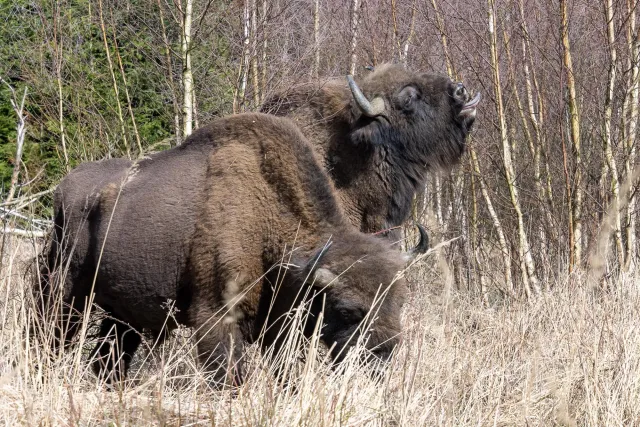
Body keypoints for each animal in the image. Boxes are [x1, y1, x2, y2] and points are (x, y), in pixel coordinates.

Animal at [41, 112, 430, 386]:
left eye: (399, 301)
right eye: (348, 310)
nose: (382, 355)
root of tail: (64, 188)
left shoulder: (278, 328)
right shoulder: (216, 317)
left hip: (122, 311)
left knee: (109, 355)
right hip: (67, 292)